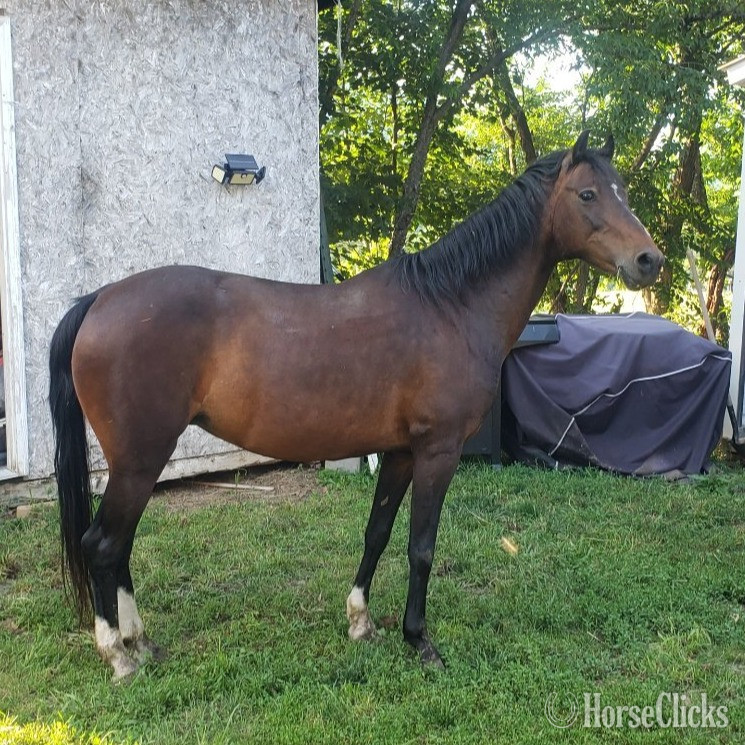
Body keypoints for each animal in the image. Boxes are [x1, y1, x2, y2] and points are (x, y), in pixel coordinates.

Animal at [49, 131, 663, 681]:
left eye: (624, 191)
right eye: (588, 194)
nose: (649, 260)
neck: (450, 305)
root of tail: (99, 299)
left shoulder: (400, 452)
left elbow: (378, 532)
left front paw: (362, 622)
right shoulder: (438, 452)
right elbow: (421, 546)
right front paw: (420, 641)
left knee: (119, 546)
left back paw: (141, 642)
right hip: (140, 459)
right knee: (102, 545)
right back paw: (119, 655)